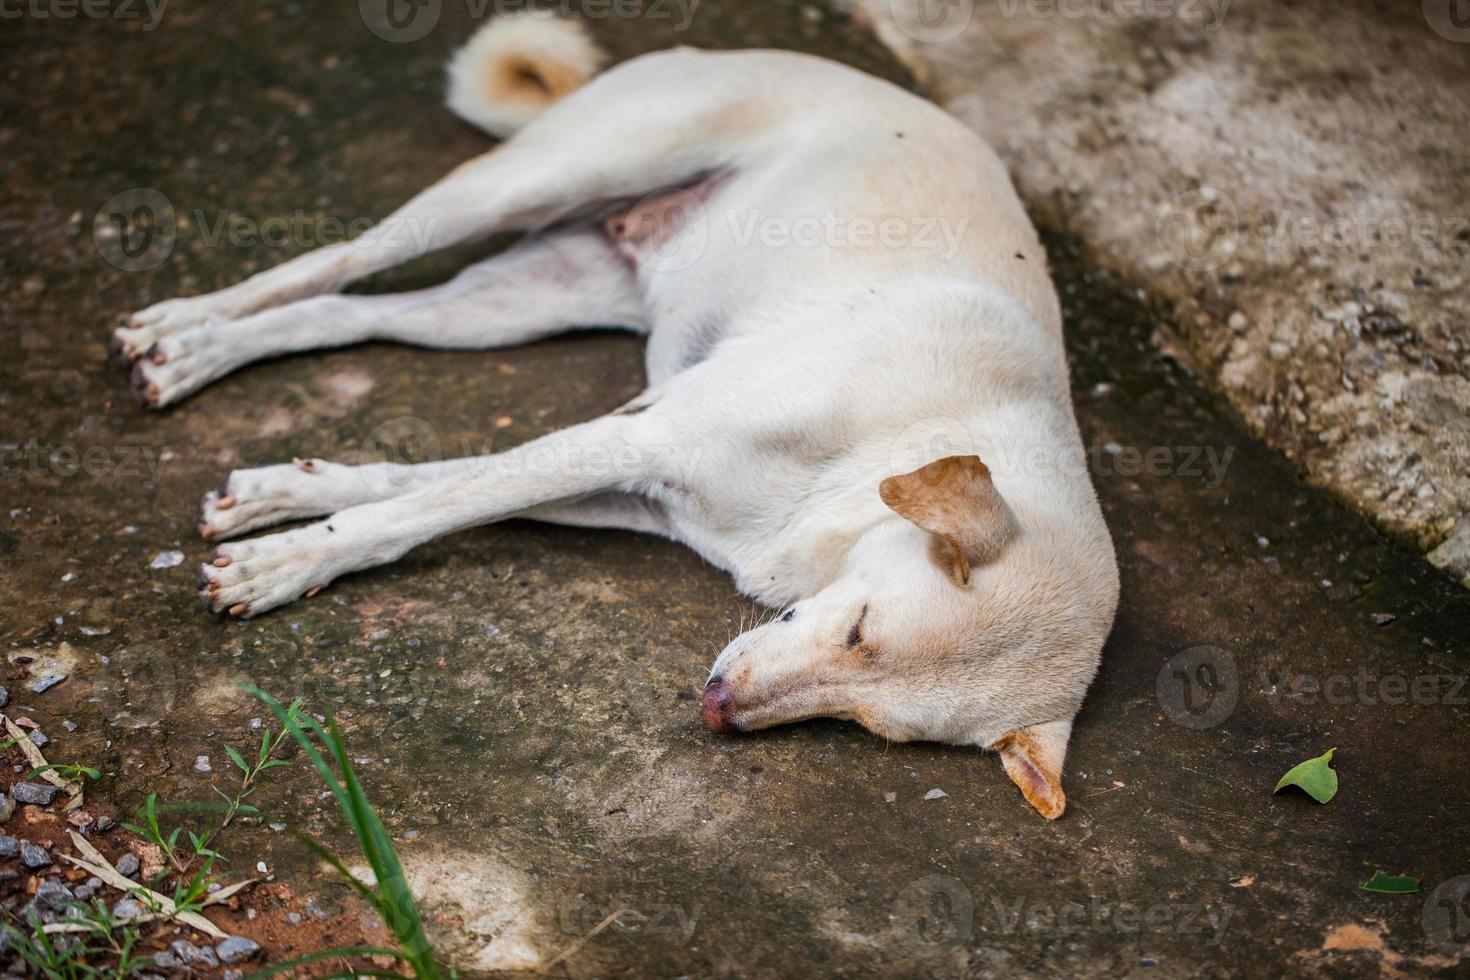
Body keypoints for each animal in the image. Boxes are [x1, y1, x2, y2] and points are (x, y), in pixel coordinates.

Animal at [117, 15, 1111, 822]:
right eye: (861, 627)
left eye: (872, 724)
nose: (716, 711)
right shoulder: (639, 434)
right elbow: (424, 509)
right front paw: (286, 564)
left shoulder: (633, 481)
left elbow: (431, 486)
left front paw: (277, 500)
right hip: (534, 183)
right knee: (333, 260)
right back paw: (182, 328)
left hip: (514, 300)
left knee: (348, 313)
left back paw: (201, 351)